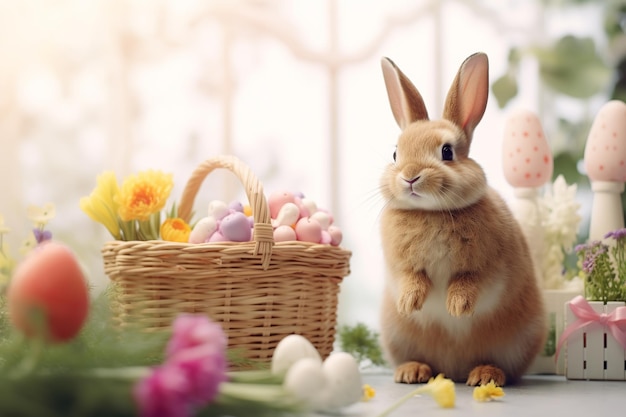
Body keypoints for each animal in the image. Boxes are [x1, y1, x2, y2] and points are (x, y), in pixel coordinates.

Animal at [376, 52, 544, 386]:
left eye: (447, 152)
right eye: (395, 154)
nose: (410, 176)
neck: (432, 213)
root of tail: (452, 369)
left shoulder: (489, 268)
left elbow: (469, 282)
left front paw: (457, 307)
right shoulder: (400, 267)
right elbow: (411, 278)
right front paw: (409, 302)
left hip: (517, 340)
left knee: (501, 366)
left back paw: (484, 375)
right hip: (397, 336)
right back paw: (412, 371)